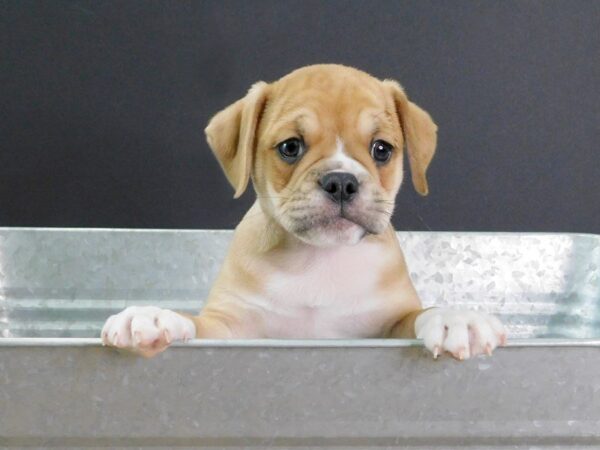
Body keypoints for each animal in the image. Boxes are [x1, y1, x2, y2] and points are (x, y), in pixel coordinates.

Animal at [102, 63, 506, 358]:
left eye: (381, 149)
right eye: (290, 147)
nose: (341, 181)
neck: (318, 260)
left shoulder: (391, 322)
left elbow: (420, 314)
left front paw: (456, 318)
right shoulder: (232, 325)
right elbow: (198, 324)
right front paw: (155, 316)